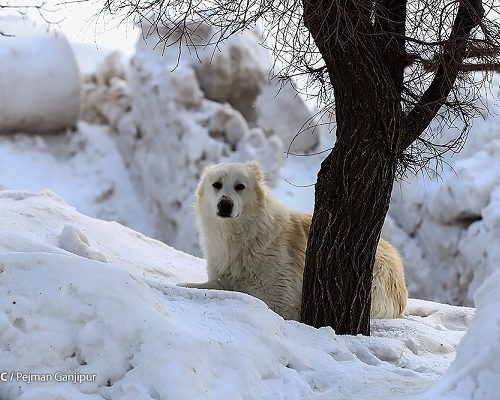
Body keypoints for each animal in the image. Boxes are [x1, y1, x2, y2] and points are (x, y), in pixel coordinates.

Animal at [182, 161, 408, 320]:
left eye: (240, 187)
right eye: (217, 185)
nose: (225, 204)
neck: (239, 236)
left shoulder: (280, 300)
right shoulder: (219, 280)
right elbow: (192, 285)